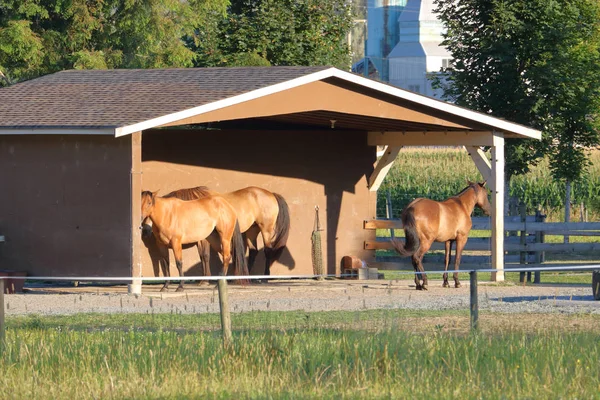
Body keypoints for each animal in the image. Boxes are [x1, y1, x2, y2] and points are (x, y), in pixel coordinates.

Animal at [142, 186, 290, 280]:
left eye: (150, 205)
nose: (145, 230)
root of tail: (271, 193)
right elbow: (202, 257)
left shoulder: (203, 239)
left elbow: (205, 256)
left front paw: (205, 280)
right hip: (252, 230)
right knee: (253, 251)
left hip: (266, 229)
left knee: (267, 251)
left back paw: (265, 277)